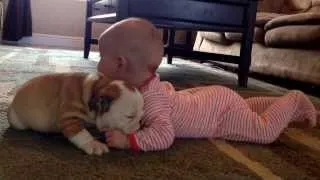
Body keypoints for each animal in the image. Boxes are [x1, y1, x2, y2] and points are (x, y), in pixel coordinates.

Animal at [7, 72, 144, 155]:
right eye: (129, 116)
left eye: (141, 116)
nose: (139, 126)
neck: (95, 89)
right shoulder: (70, 117)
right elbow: (81, 133)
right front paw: (92, 144)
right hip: (17, 121)